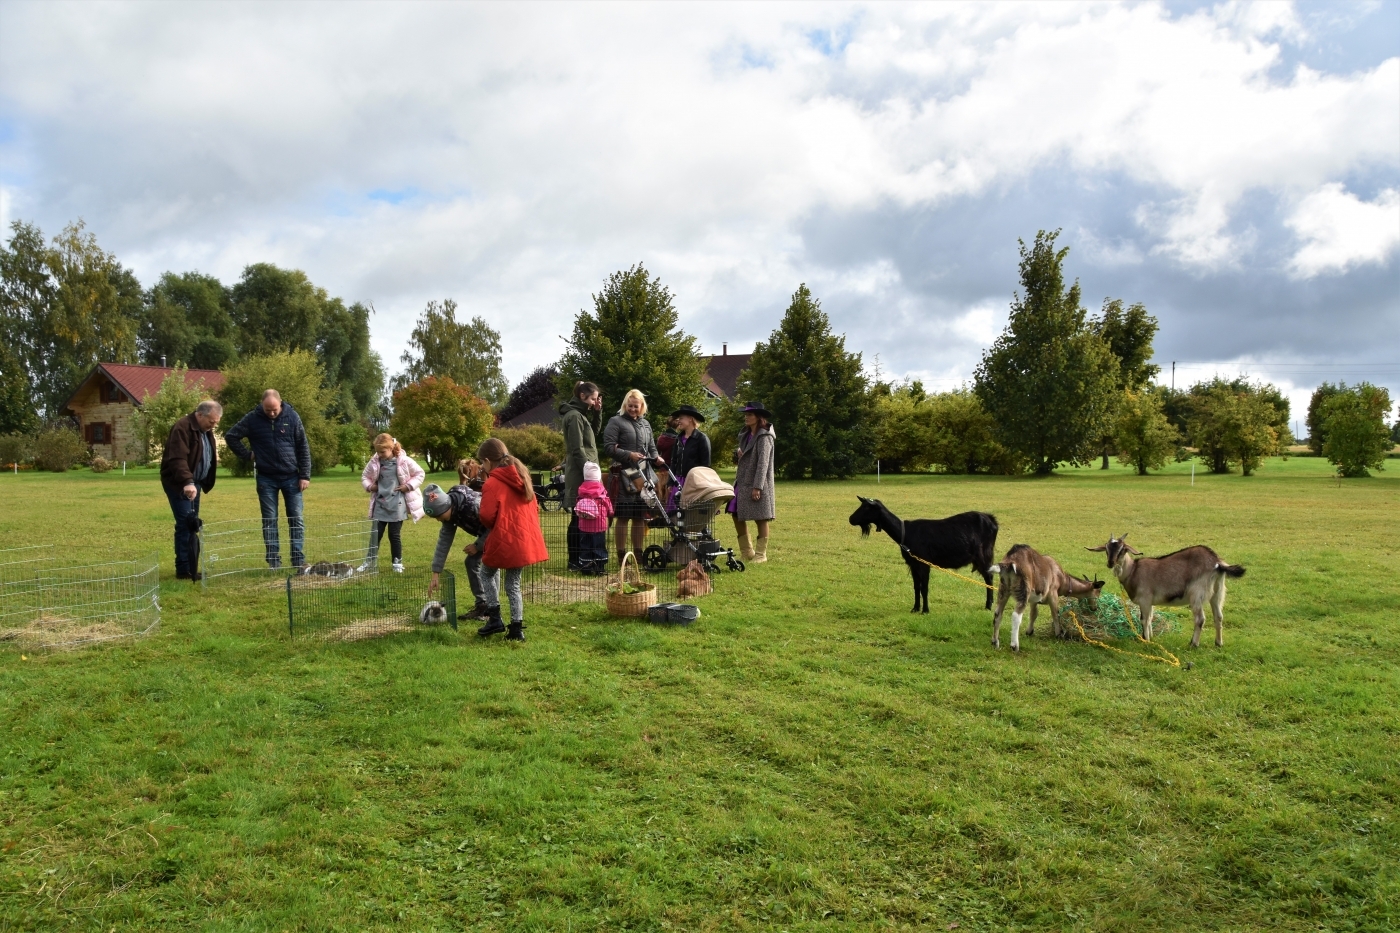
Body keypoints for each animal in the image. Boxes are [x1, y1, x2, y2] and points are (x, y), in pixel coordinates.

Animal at [845, 493, 1002, 610]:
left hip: (984, 555)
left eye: (867, 508)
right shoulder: (913, 563)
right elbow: (916, 587)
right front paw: (915, 608)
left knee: (989, 577)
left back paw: (988, 606)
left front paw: (925, 610)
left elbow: (924, 587)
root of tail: (992, 520)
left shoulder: (924, 562)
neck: (905, 533)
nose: (851, 519)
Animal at [1086, 535, 1243, 644]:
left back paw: (1193, 644)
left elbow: (1144, 619)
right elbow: (1150, 618)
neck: (1133, 571)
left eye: (1122, 549)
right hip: (1218, 592)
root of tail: (1217, 562)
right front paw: (1151, 637)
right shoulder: (1150, 602)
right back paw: (1218, 643)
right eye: (1106, 549)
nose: (1110, 563)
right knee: (1219, 616)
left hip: (1197, 593)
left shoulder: (1145, 599)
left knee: (1200, 619)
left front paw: (1145, 640)